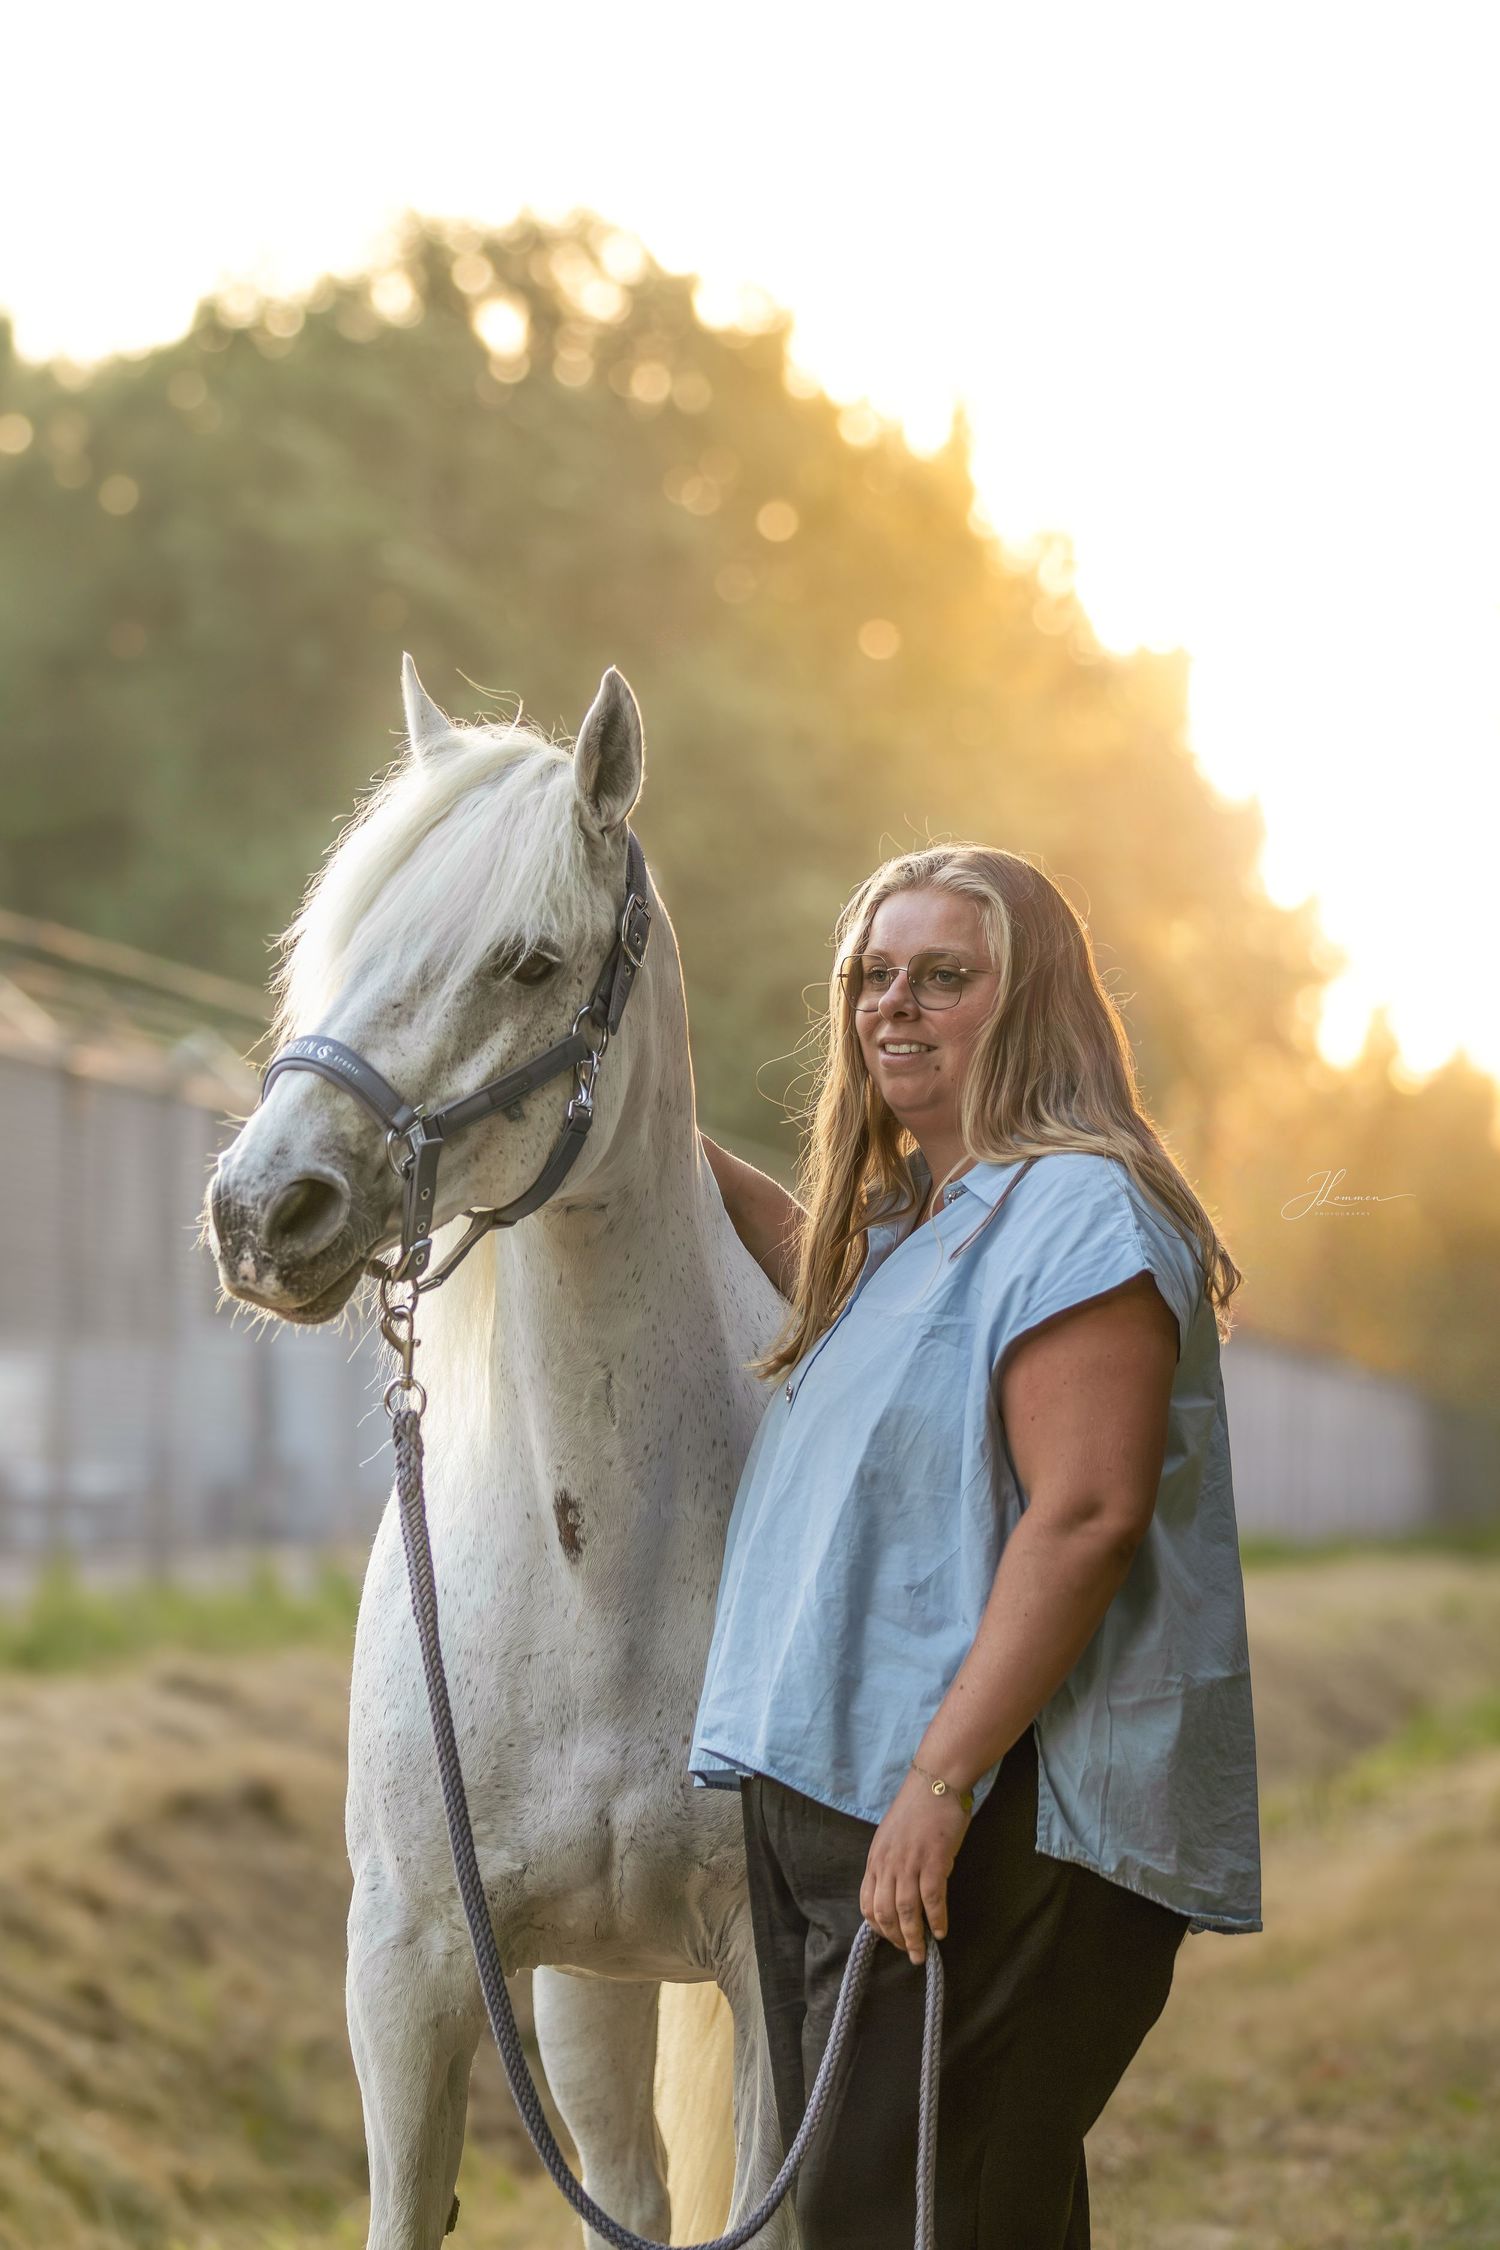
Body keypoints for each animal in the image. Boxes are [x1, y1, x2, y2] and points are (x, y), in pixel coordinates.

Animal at [206, 657, 798, 2250]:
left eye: (530, 962)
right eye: (350, 936)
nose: (262, 1209)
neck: (598, 1564)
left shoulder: (776, 1968)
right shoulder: (410, 1965)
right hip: (591, 1986)